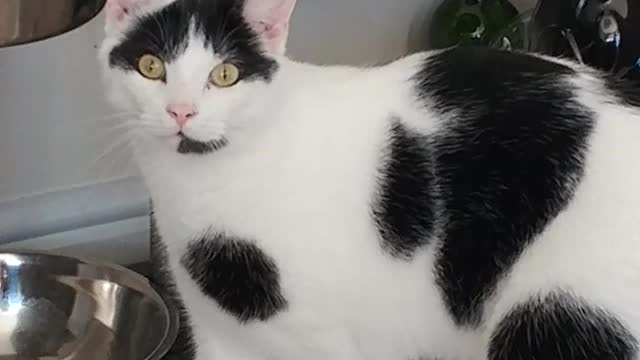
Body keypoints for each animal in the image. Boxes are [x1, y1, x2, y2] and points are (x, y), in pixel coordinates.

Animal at [96, 0, 640, 358]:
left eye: (225, 75)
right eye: (151, 66)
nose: (181, 111)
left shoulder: (332, 343)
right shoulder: (218, 332)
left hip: (557, 315)